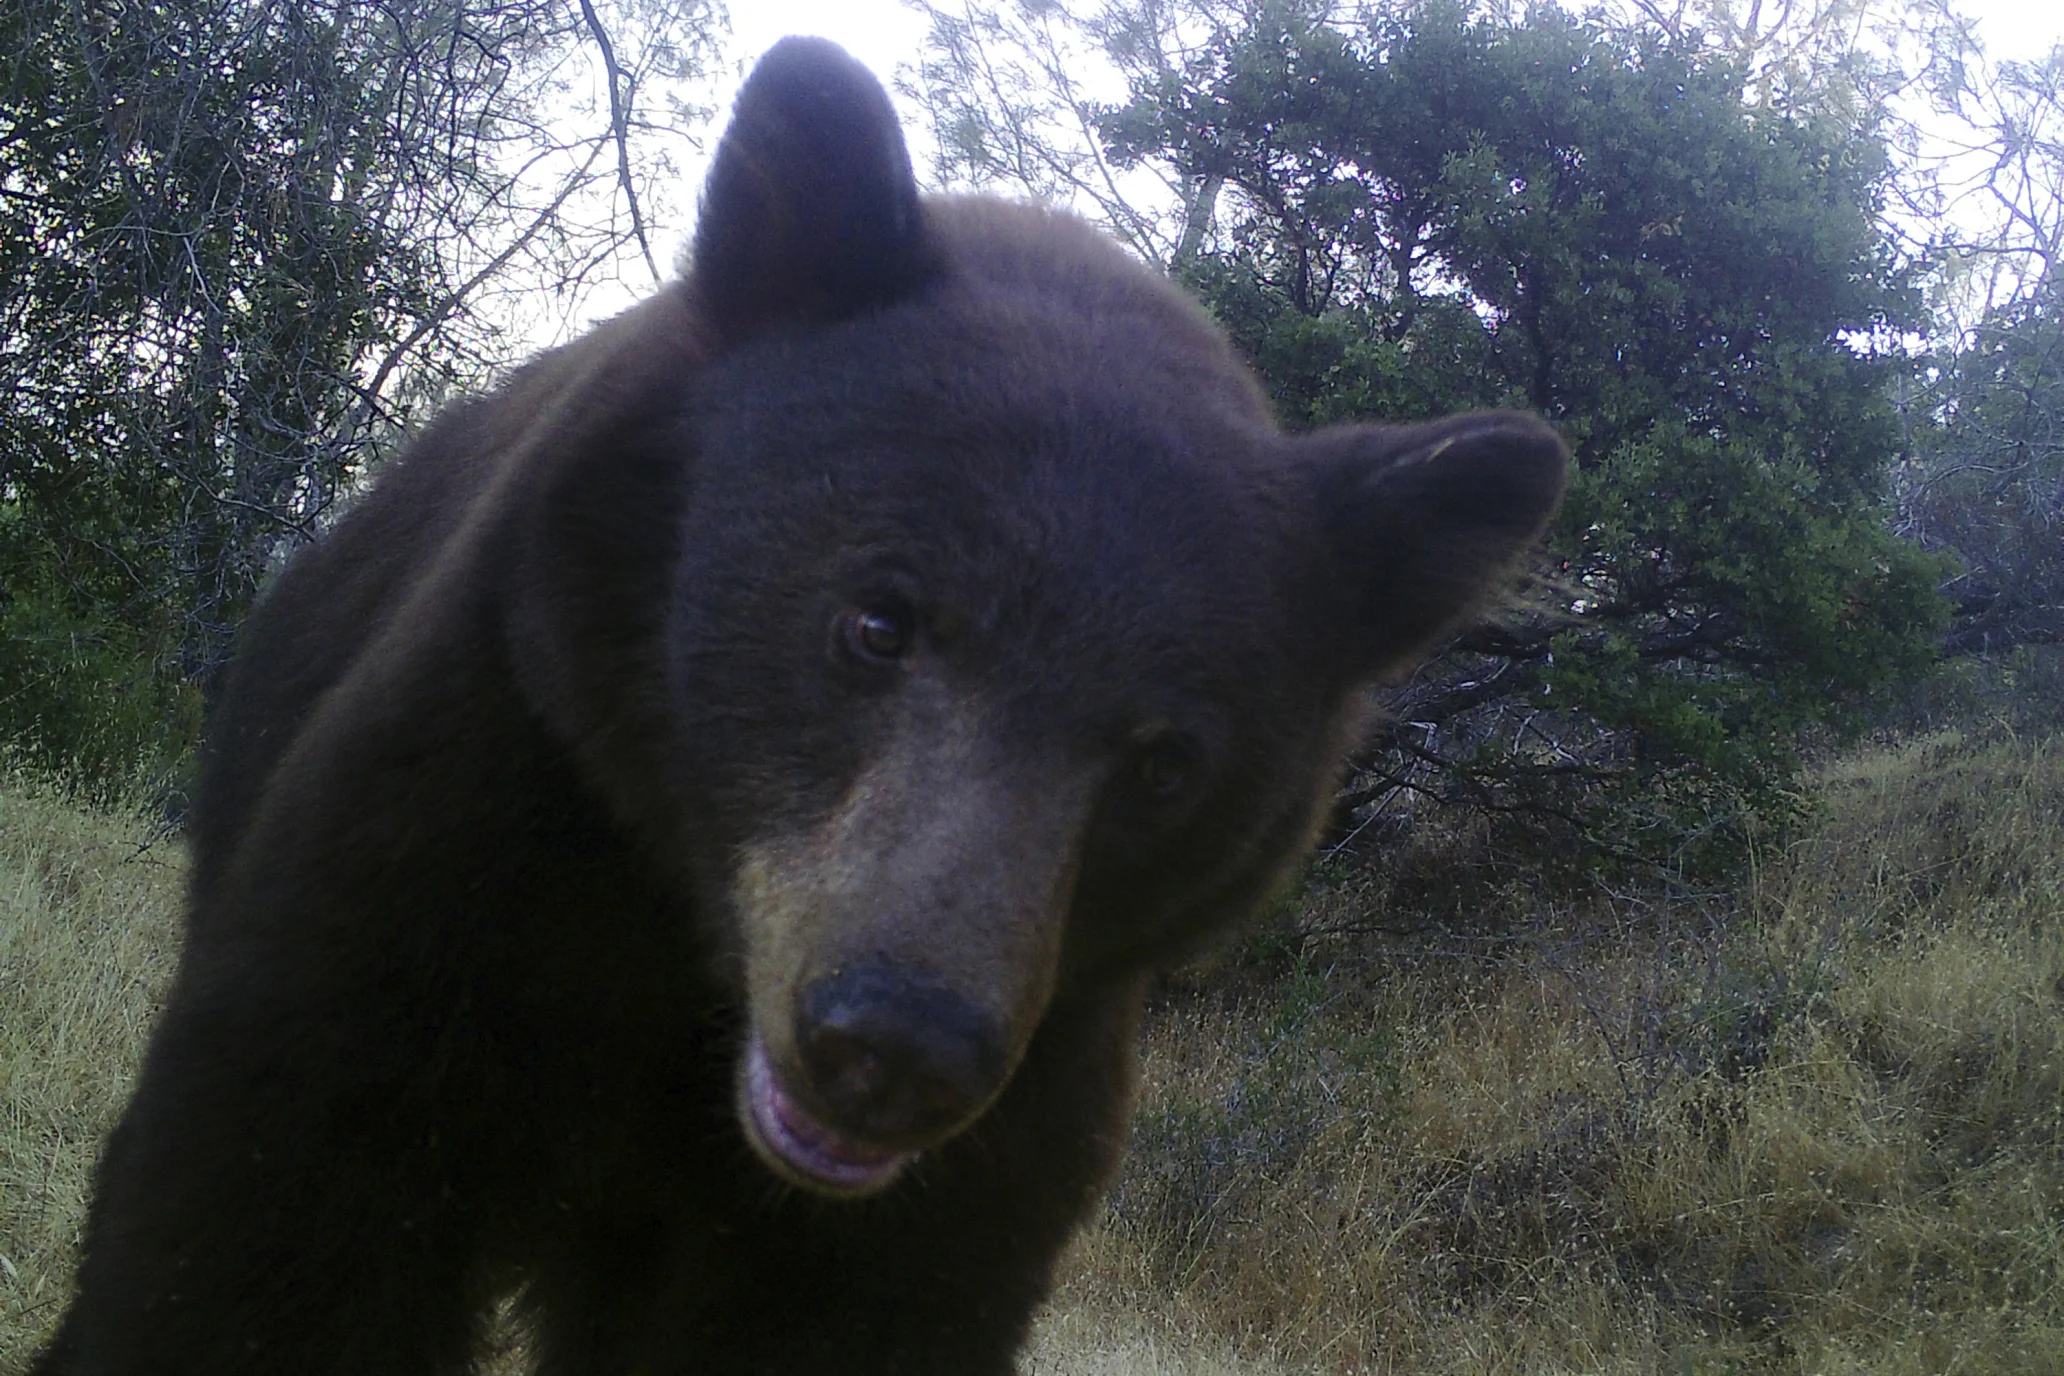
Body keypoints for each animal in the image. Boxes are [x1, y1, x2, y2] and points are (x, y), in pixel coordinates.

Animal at [32, 35, 1560, 1376]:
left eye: (1166, 762)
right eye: (877, 621)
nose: (894, 1047)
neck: (694, 976)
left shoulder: (1002, 1123)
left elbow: (853, 1314)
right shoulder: (463, 841)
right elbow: (270, 1219)